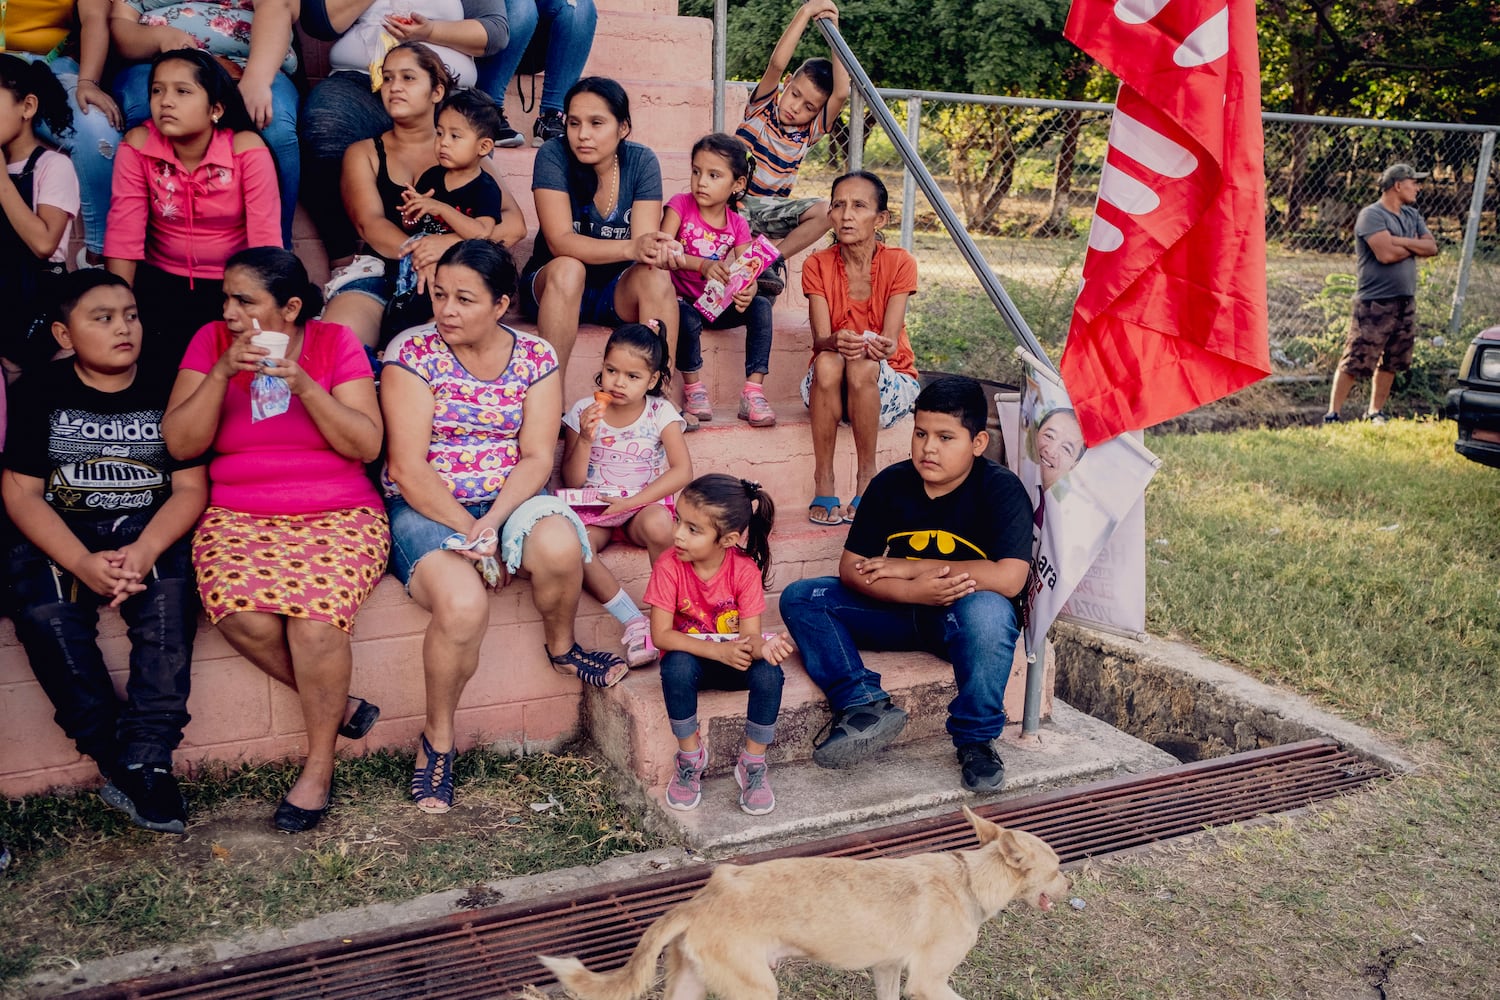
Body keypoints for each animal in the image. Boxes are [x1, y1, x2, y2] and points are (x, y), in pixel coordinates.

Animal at [540, 803, 1068, 1000]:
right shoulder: (929, 982)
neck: (970, 880)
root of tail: (698, 901)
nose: (1069, 889)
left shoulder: (887, 970)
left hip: (690, 986)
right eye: (1058, 867)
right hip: (756, 991)